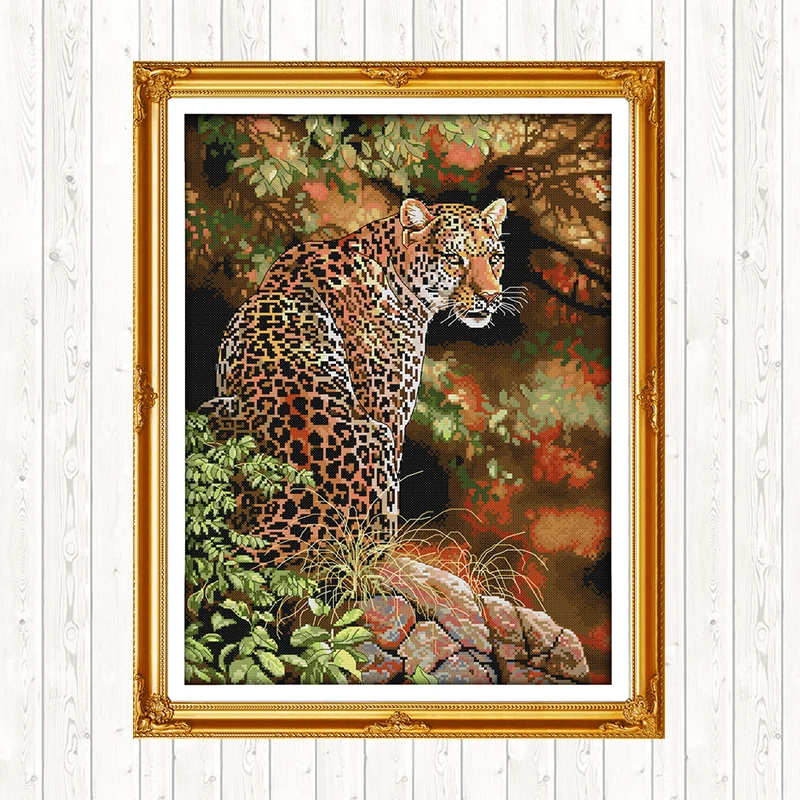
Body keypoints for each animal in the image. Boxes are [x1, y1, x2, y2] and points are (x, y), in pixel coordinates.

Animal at [199, 196, 514, 564]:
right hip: (376, 444)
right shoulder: (390, 416)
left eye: (495, 258)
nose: (491, 297)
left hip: (212, 409)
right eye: (454, 258)